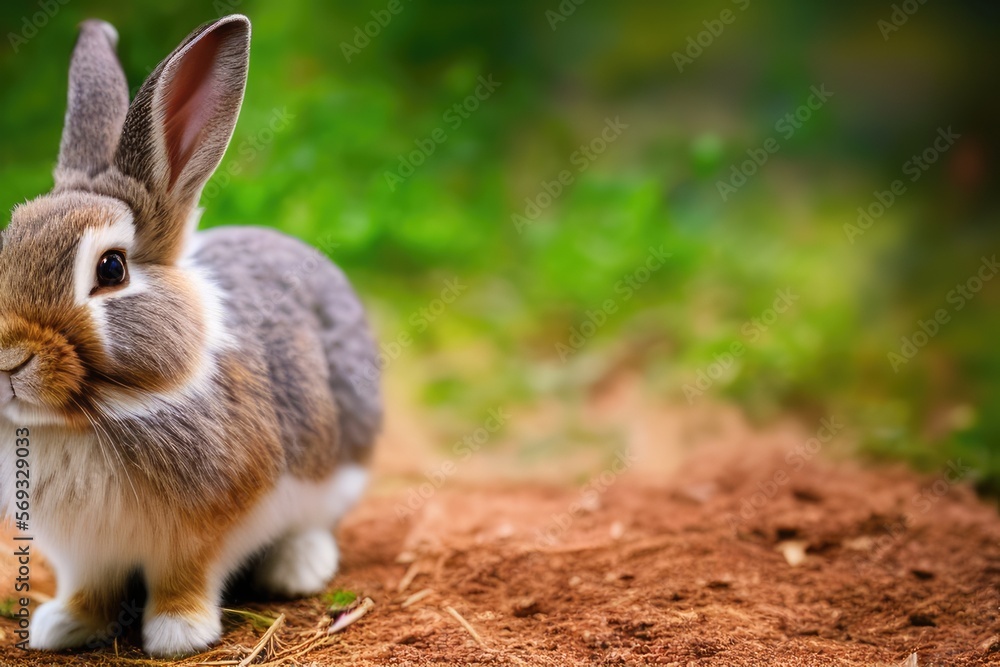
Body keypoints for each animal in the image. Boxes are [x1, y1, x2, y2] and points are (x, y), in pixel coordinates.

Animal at [0, 14, 381, 657]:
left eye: (111, 269)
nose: (7, 358)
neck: (89, 419)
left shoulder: (210, 530)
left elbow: (187, 577)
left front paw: (179, 633)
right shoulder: (81, 552)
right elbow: (89, 587)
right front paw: (64, 627)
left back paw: (297, 567)